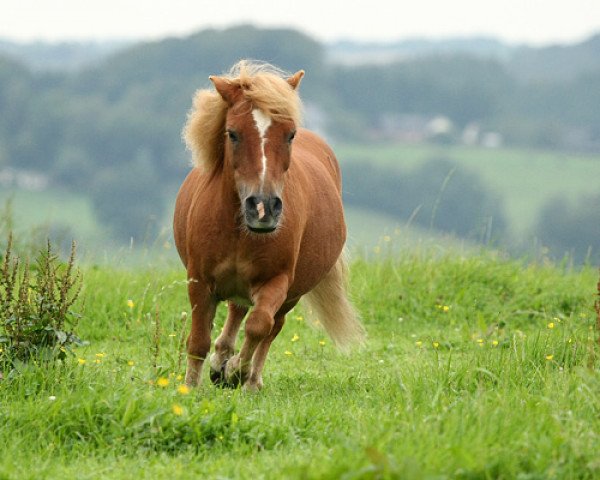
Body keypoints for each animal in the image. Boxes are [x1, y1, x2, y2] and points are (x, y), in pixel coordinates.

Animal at [171, 61, 364, 390]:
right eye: (232, 133)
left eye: (290, 134)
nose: (263, 209)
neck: (239, 232)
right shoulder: (199, 281)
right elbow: (198, 340)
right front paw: (191, 387)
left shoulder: (277, 282)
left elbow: (259, 326)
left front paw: (237, 371)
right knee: (236, 311)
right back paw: (220, 361)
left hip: (292, 293)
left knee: (271, 326)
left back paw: (249, 380)